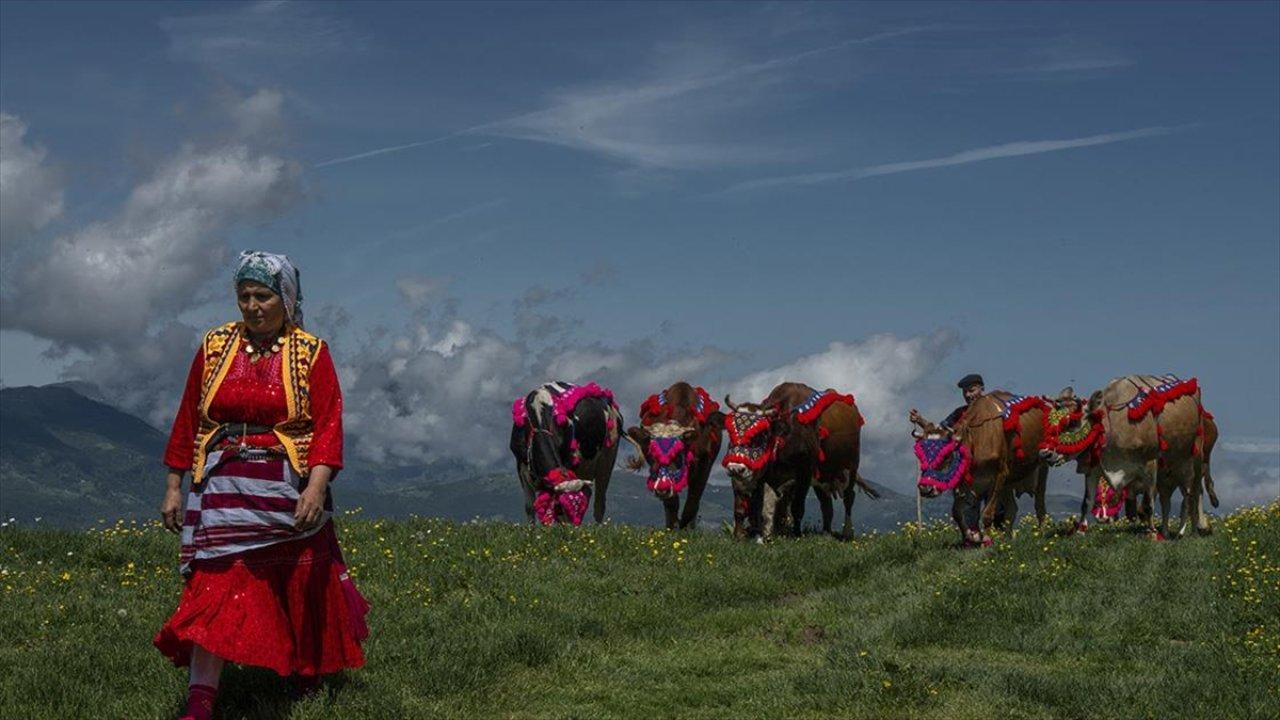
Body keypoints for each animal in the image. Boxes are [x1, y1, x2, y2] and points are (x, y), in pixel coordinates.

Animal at [512, 379, 627, 525]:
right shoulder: (521, 466)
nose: (571, 528)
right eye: (560, 507)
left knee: (600, 503)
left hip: (607, 459)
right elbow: (530, 507)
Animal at [622, 381, 727, 527]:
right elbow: (672, 503)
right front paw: (672, 525)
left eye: (678, 453)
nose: (661, 490)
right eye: (652, 454)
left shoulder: (705, 463)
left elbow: (693, 500)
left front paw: (685, 524)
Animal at [721, 381, 880, 538]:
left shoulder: (805, 472)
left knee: (848, 497)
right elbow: (755, 508)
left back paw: (847, 532)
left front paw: (796, 534)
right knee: (826, 503)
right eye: (730, 432)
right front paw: (753, 534)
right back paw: (826, 533)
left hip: (851, 465)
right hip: (823, 475)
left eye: (759, 434)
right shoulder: (763, 477)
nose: (736, 468)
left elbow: (796, 507)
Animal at [911, 389, 1049, 545]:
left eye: (946, 455)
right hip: (1009, 481)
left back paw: (1041, 534)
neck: (975, 441)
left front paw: (987, 539)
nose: (925, 488)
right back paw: (1006, 538)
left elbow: (988, 513)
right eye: (920, 454)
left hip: (1042, 465)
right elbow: (956, 512)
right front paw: (971, 537)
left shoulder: (1000, 474)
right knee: (1011, 509)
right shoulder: (961, 480)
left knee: (1039, 504)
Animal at [1034, 376, 1213, 532]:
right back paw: (1167, 531)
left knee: (1194, 493)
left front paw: (1152, 533)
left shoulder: (1150, 464)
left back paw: (1192, 530)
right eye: (1049, 421)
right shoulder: (1095, 467)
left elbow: (1148, 504)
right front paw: (1080, 531)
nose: (1044, 453)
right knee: (1169, 499)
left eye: (1072, 422)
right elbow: (1086, 502)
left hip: (1196, 458)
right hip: (1170, 467)